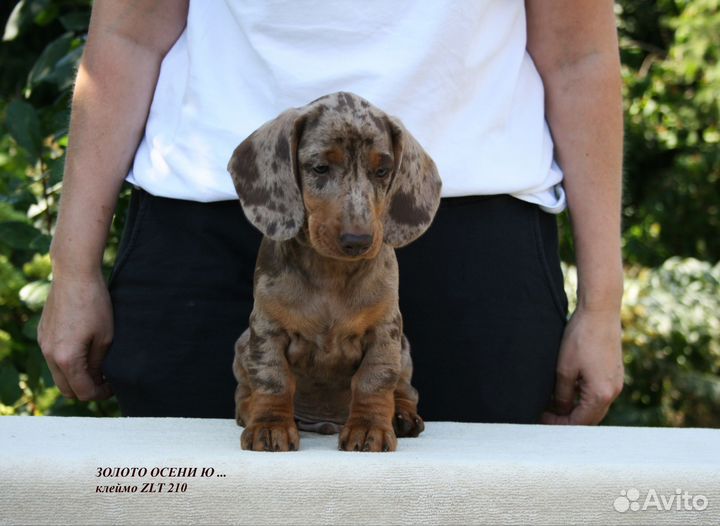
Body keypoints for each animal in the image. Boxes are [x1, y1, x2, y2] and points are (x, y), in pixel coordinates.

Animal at [228, 92, 442, 454]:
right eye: (320, 168)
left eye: (382, 170)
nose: (358, 240)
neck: (331, 272)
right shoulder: (267, 329)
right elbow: (273, 379)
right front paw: (270, 425)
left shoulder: (385, 333)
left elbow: (374, 381)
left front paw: (369, 429)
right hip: (243, 344)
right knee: (245, 389)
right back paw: (248, 410)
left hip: (404, 351)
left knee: (405, 390)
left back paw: (402, 417)